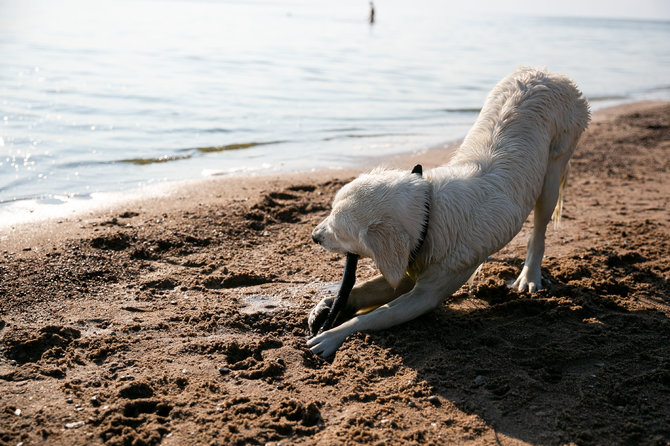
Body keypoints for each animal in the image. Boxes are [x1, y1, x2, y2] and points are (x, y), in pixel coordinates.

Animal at [308, 68, 592, 358]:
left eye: (339, 232)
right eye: (330, 211)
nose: (314, 236)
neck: (430, 215)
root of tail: (547, 73)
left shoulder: (427, 293)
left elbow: (375, 316)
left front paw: (331, 335)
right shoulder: (411, 264)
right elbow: (366, 288)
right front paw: (327, 305)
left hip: (553, 171)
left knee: (539, 229)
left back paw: (529, 277)